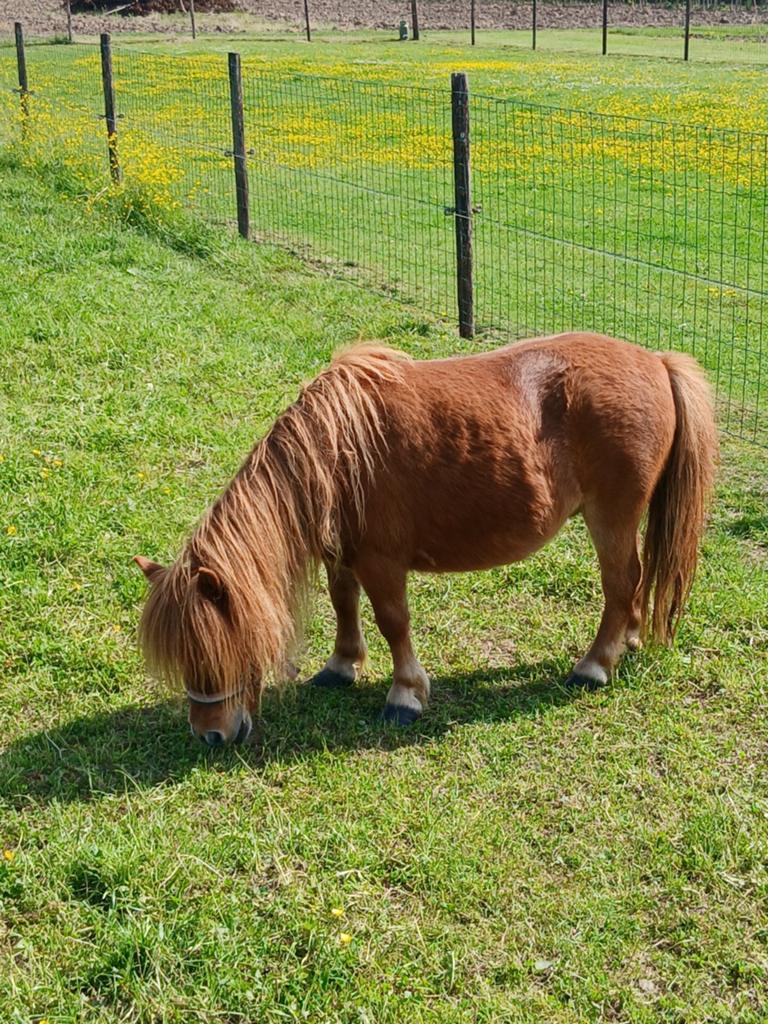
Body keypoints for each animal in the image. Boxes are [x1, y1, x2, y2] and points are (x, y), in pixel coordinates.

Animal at [134, 333, 717, 747]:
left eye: (214, 648)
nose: (209, 734)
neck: (336, 454)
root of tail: (656, 361)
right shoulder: (342, 553)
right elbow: (344, 603)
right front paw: (341, 667)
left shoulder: (380, 560)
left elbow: (393, 621)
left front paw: (404, 696)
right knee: (634, 583)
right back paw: (629, 642)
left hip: (610, 518)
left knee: (620, 584)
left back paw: (594, 666)